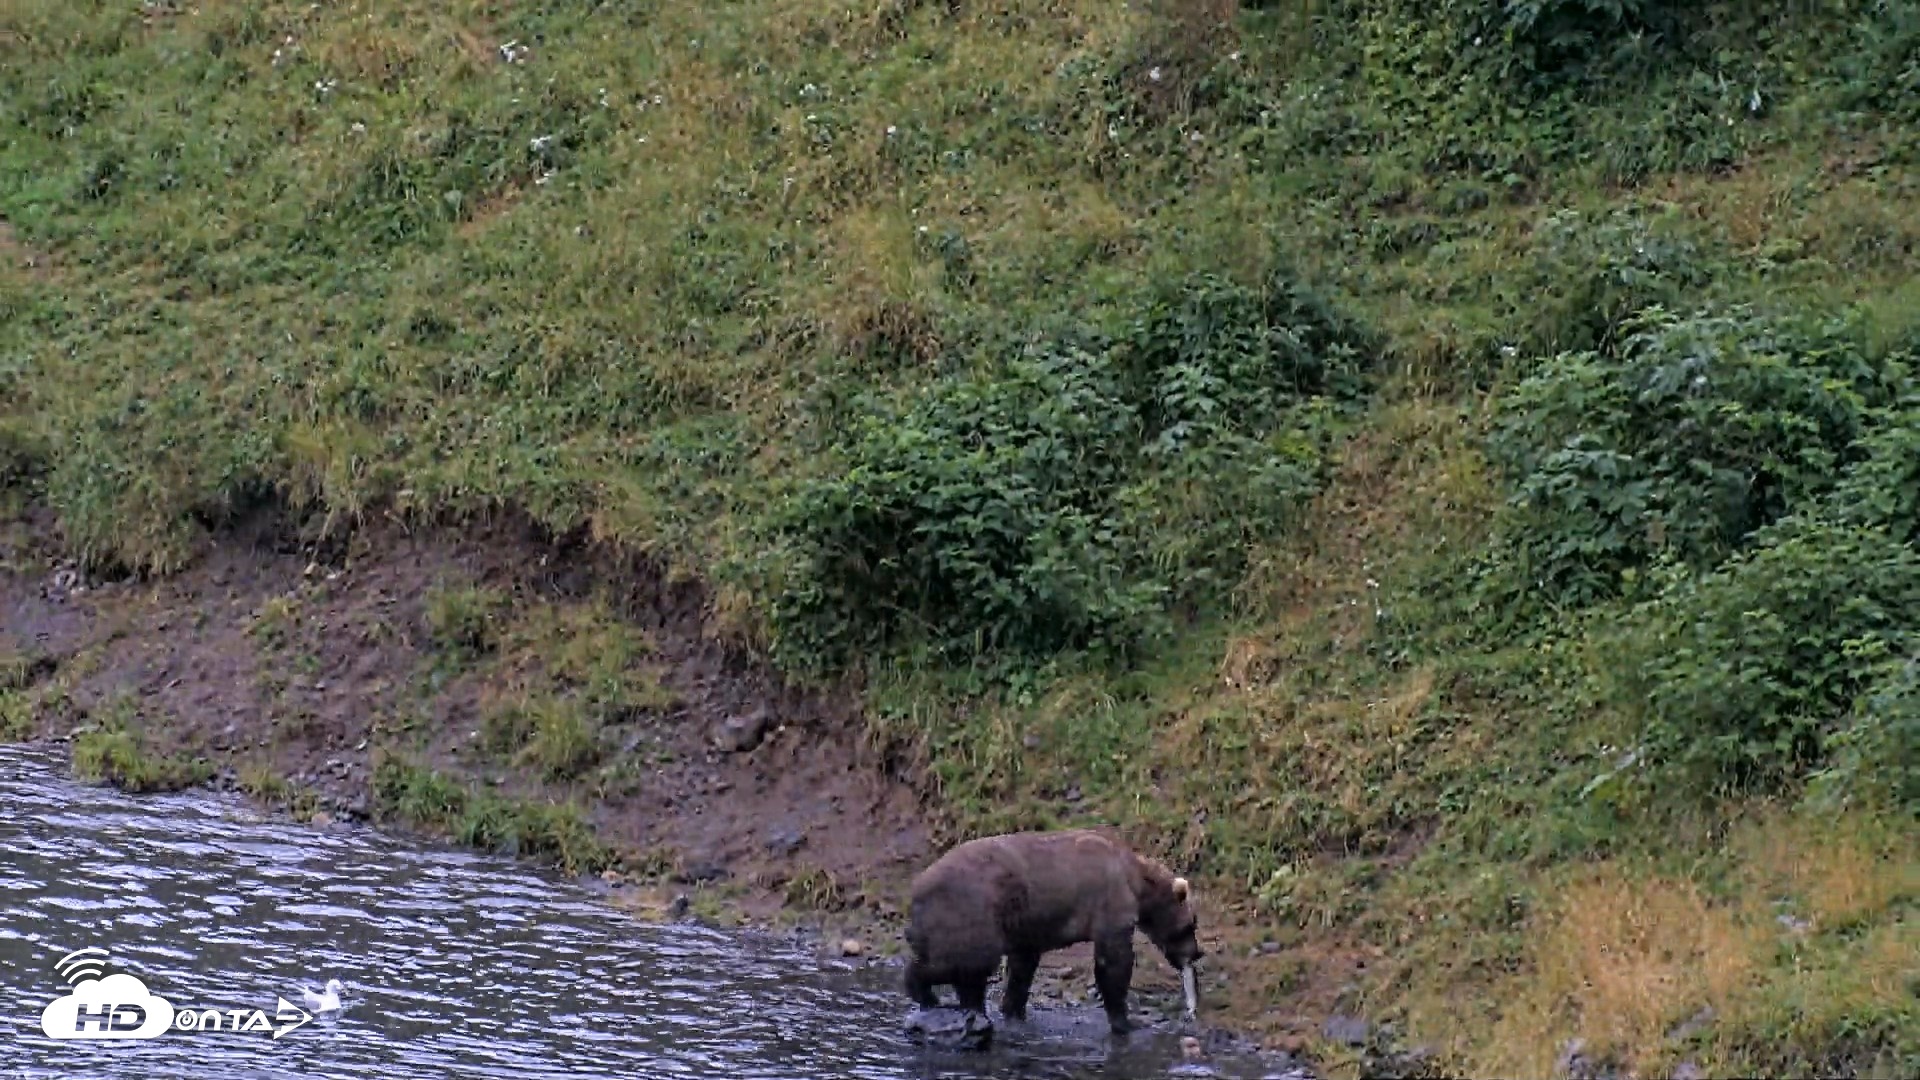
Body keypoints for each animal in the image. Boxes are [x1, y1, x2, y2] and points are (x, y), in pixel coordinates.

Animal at [901, 827, 1204, 1038]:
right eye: (1191, 924)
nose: (1197, 952)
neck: (1137, 881)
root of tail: (916, 889)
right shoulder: (1109, 904)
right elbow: (1113, 963)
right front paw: (1126, 1021)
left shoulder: (1027, 925)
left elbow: (1023, 967)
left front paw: (1013, 1010)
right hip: (969, 911)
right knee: (963, 963)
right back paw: (926, 991)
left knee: (965, 972)